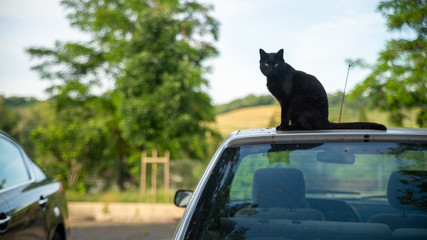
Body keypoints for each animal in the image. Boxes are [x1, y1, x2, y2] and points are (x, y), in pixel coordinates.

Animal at [260, 48, 388, 131]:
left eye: (276, 65)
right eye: (266, 64)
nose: (271, 69)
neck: (273, 79)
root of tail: (325, 122)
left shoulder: (286, 100)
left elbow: (284, 115)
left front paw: (282, 126)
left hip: (298, 101)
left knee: (307, 127)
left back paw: (290, 128)